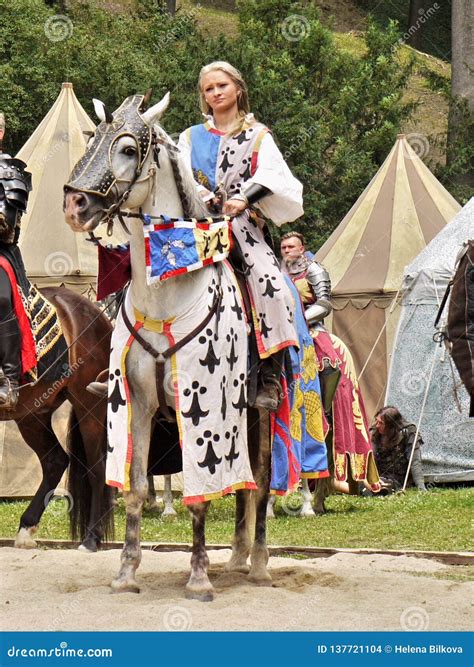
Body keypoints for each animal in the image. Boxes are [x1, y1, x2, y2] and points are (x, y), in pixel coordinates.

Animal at [3, 288, 115, 552]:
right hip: (33, 414)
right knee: (55, 461)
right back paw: (26, 528)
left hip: (89, 405)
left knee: (96, 468)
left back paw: (91, 538)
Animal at [64, 92, 270, 600]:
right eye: (91, 139)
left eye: (128, 149)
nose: (74, 204)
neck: (167, 292)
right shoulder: (133, 403)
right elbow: (137, 488)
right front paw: (126, 572)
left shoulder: (206, 411)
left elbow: (200, 495)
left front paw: (198, 578)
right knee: (246, 483)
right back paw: (237, 557)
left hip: (263, 413)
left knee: (261, 481)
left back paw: (257, 562)